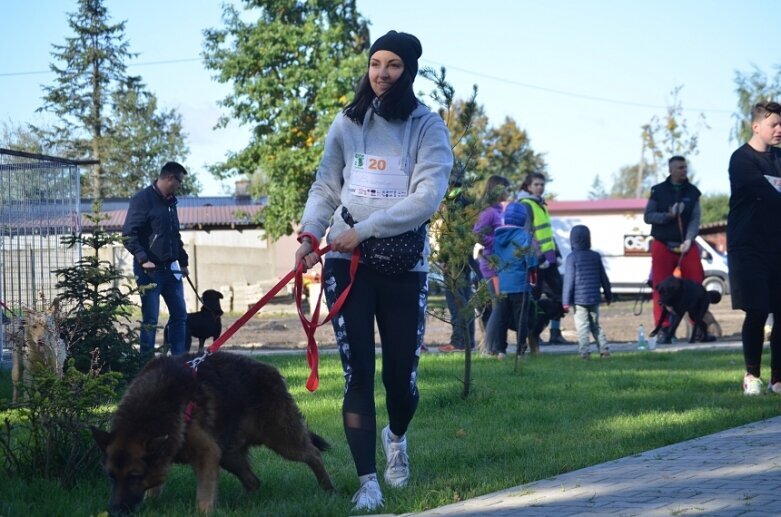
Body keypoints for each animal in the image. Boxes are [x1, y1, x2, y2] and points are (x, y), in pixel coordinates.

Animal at [90, 350, 332, 512]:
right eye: (111, 476)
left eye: (134, 477)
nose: (115, 511)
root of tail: (272, 372)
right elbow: (154, 488)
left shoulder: (206, 454)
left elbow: (204, 497)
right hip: (229, 455)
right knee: (253, 481)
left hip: (282, 438)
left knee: (313, 454)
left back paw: (328, 488)